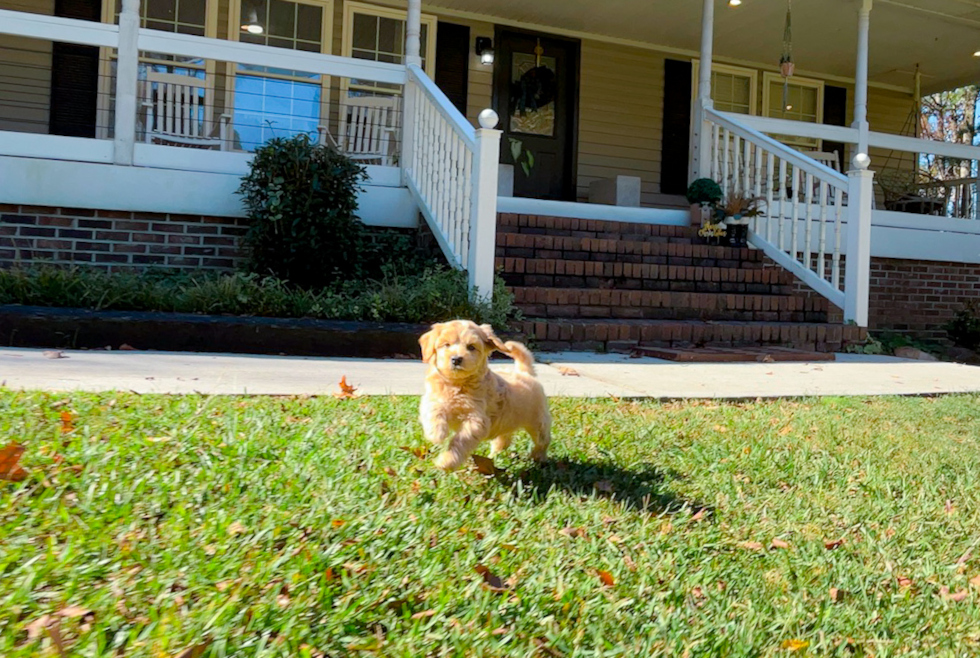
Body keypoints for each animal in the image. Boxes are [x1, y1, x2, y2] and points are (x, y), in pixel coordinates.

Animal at [416, 320, 548, 468]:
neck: (457, 384)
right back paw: (495, 455)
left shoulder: (476, 421)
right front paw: (436, 433)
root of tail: (525, 372)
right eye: (446, 345)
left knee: (542, 441)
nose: (456, 359)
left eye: (471, 347)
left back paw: (538, 458)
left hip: (538, 421)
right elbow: (433, 410)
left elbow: (459, 442)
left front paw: (447, 461)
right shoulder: (431, 398)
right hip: (507, 420)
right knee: (503, 439)